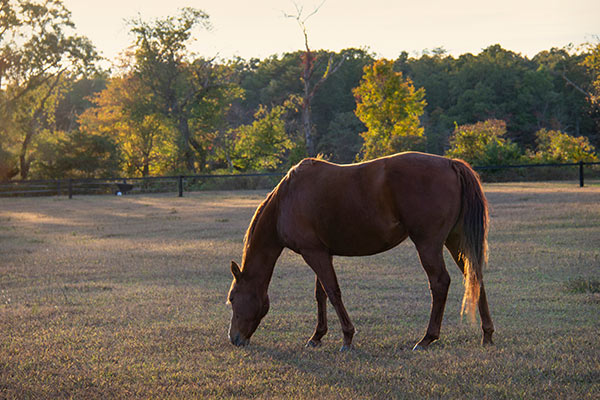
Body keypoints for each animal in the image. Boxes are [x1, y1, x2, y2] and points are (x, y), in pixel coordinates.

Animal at [225, 152, 492, 352]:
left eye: (232, 299)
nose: (234, 338)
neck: (286, 201)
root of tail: (450, 163)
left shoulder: (314, 253)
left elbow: (333, 293)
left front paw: (347, 337)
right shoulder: (323, 252)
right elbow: (321, 294)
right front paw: (317, 336)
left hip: (428, 244)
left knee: (439, 283)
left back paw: (427, 338)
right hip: (455, 241)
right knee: (475, 277)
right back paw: (487, 334)